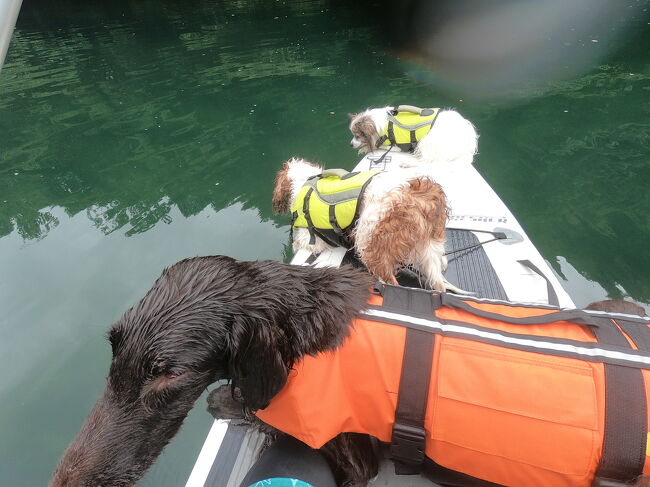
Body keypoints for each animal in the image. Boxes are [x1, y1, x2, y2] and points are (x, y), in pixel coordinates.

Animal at [270, 158, 464, 294]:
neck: (306, 184)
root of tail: (416, 196)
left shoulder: (312, 240)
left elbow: (301, 243)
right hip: (431, 246)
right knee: (439, 272)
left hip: (369, 242)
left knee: (389, 280)